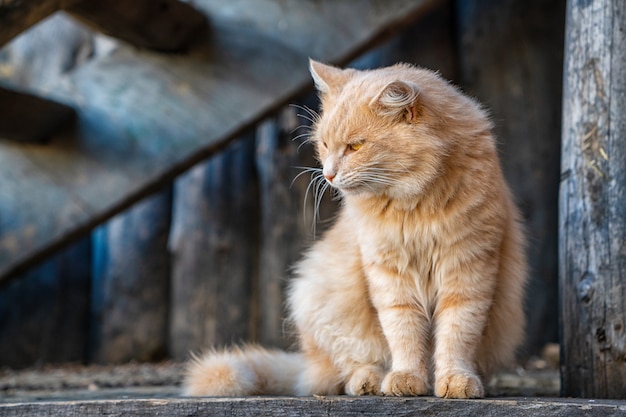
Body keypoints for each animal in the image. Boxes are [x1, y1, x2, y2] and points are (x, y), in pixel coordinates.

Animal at [184, 60, 528, 398]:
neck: (416, 204)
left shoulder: (467, 269)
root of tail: (310, 363)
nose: (328, 174)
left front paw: (455, 380)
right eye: (325, 144)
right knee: (347, 368)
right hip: (320, 302)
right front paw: (406, 378)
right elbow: (403, 332)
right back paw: (369, 381)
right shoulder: (390, 275)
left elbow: (456, 336)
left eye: (356, 146)